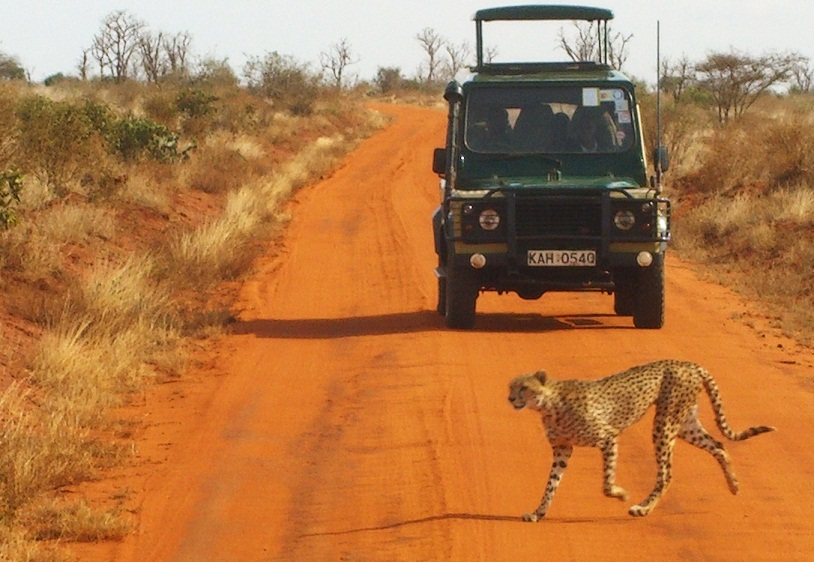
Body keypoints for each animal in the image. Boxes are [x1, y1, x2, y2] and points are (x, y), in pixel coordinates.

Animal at [510, 356, 776, 520]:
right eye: (510, 387)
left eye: (524, 388)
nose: (510, 399)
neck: (548, 405)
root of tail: (689, 363)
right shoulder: (563, 450)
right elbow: (551, 484)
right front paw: (538, 512)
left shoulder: (608, 437)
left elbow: (606, 483)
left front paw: (621, 494)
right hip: (685, 425)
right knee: (719, 446)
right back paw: (734, 485)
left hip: (664, 424)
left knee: (667, 473)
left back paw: (643, 507)